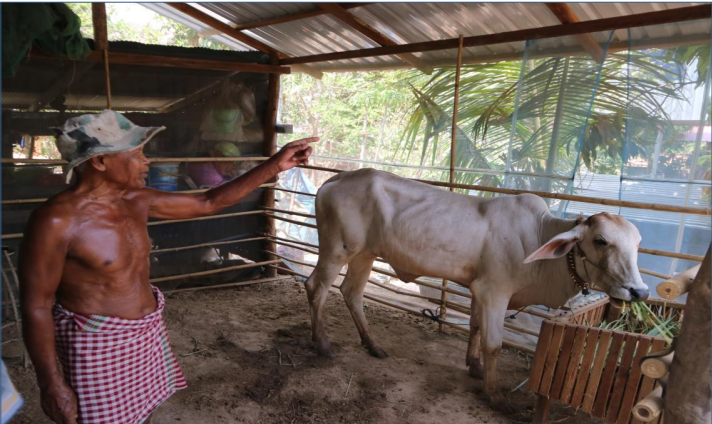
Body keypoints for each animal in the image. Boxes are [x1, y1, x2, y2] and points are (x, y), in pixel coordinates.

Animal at [303, 168, 649, 404]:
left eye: (638, 243)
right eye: (600, 241)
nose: (640, 292)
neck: (538, 239)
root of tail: (337, 179)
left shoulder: (477, 290)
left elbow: (474, 327)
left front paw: (474, 366)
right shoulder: (494, 291)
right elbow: (493, 342)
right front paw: (493, 392)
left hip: (365, 254)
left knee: (352, 293)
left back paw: (373, 345)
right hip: (337, 250)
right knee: (316, 287)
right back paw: (322, 344)